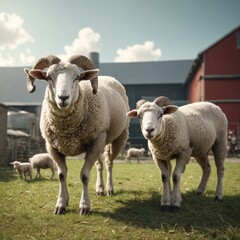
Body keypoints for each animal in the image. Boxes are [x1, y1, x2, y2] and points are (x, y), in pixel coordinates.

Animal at [23, 54, 129, 216]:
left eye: (77, 77)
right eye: (48, 77)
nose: (63, 97)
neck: (67, 129)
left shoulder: (96, 140)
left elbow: (84, 176)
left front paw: (84, 206)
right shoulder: (53, 147)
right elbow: (61, 175)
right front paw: (61, 203)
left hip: (115, 137)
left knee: (109, 163)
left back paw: (110, 188)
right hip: (100, 142)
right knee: (100, 165)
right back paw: (100, 189)